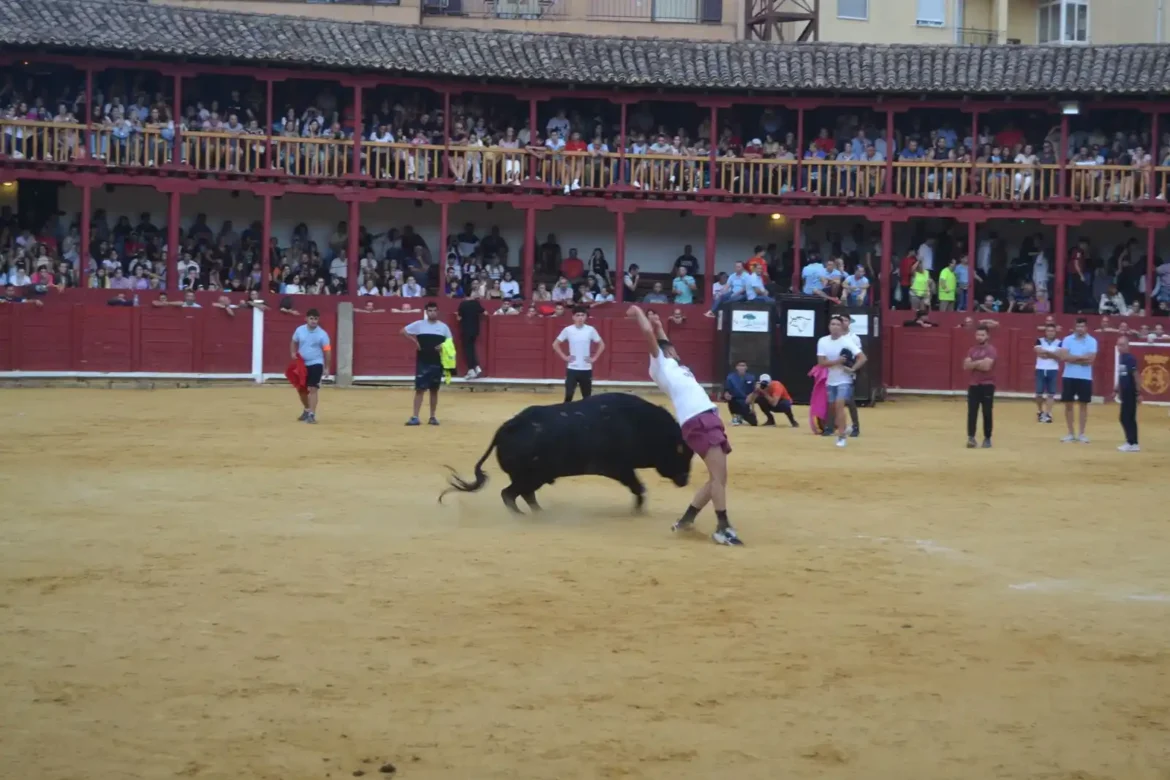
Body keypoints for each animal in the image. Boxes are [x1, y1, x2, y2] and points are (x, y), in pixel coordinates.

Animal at [439, 390, 692, 512]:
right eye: (683, 454)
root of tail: (507, 427)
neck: (641, 424)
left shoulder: (622, 469)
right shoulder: (619, 468)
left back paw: (540, 513)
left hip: (534, 477)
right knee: (510, 494)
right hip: (529, 476)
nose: (685, 480)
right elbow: (638, 487)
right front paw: (638, 509)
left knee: (525, 495)